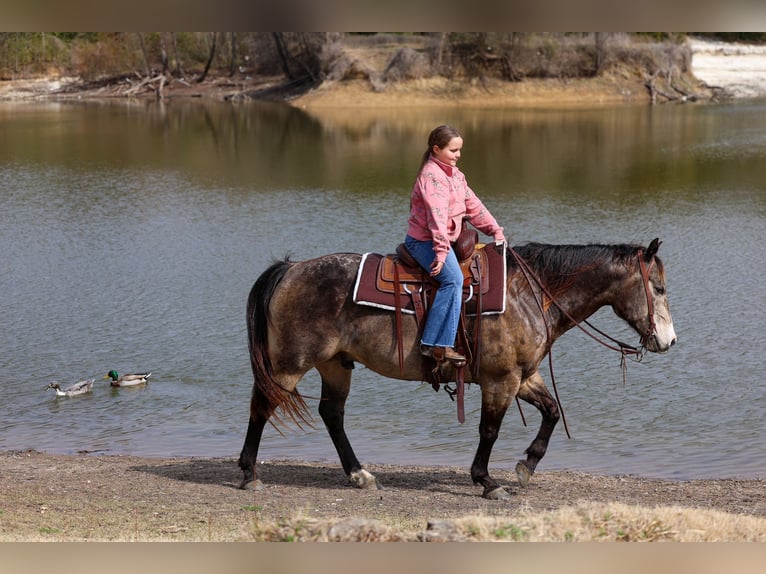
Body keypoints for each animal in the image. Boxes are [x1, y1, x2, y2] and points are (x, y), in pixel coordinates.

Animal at [237, 238, 676, 499]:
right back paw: (248, 473)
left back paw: (359, 474)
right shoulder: (501, 380)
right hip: (290, 364)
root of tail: (291, 269)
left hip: (335, 365)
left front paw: (526, 466)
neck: (529, 294)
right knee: (262, 406)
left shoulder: (524, 377)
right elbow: (490, 431)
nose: (669, 341)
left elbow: (552, 412)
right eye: (658, 288)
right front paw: (486, 480)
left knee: (332, 414)